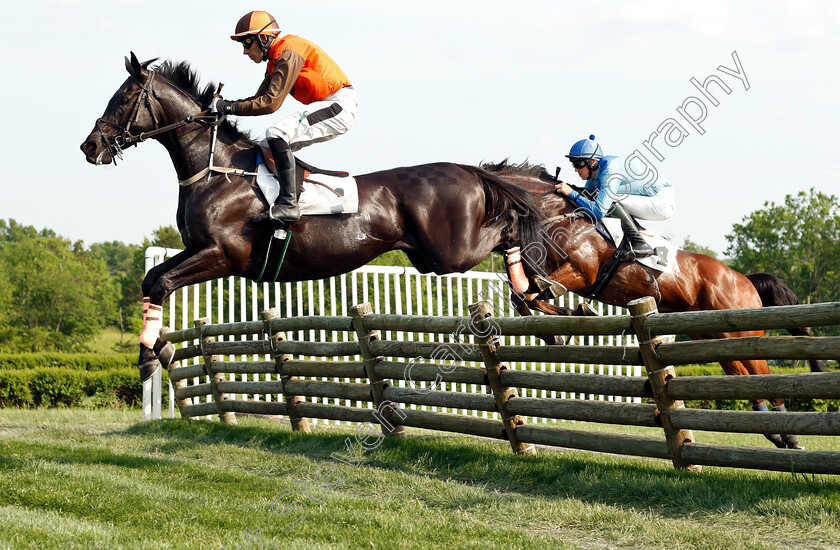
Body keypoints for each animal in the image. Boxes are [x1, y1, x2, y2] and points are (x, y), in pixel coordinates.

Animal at [82, 54, 548, 384]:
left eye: (123, 99)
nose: (90, 146)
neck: (218, 169)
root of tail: (469, 170)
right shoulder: (197, 249)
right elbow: (151, 280)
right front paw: (156, 347)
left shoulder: (223, 256)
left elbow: (162, 283)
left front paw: (149, 355)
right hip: (436, 255)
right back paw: (535, 300)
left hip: (449, 253)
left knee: (510, 226)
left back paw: (532, 291)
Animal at [492, 162, 828, 450]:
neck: (554, 213)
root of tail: (744, 278)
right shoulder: (544, 272)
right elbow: (523, 296)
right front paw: (556, 330)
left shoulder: (579, 272)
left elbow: (538, 292)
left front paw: (572, 316)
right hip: (716, 340)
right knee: (743, 379)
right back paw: (775, 434)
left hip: (743, 337)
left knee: (763, 377)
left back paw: (789, 436)